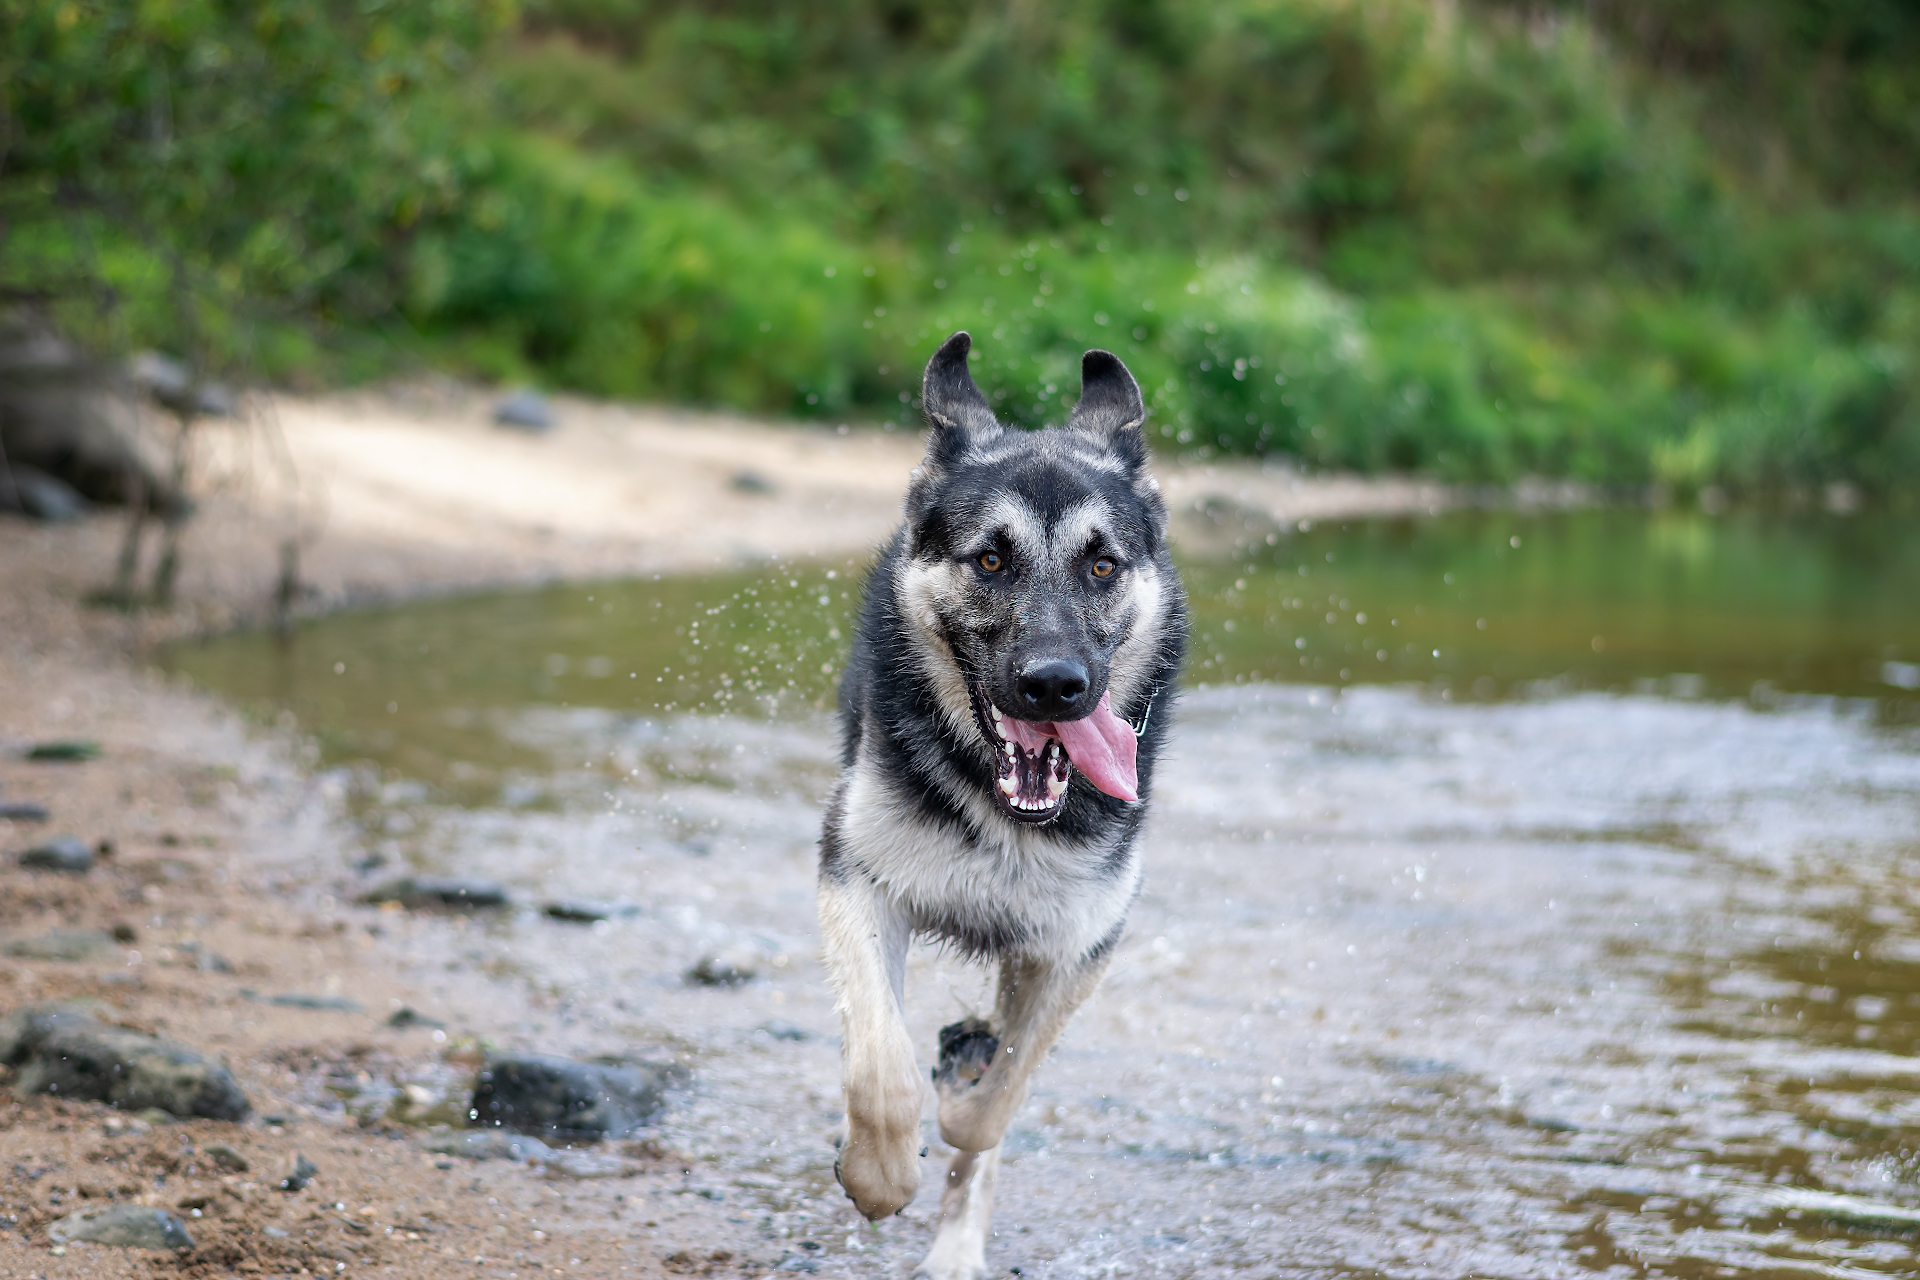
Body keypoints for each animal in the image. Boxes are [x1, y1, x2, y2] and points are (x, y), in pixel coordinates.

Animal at [814, 333, 1182, 1280]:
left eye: (1101, 564)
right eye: (990, 559)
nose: (1055, 685)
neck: (1001, 809)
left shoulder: (1072, 949)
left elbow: (995, 1106)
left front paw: (962, 1085)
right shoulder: (858, 882)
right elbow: (881, 1068)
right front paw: (877, 1175)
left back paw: (956, 1245)